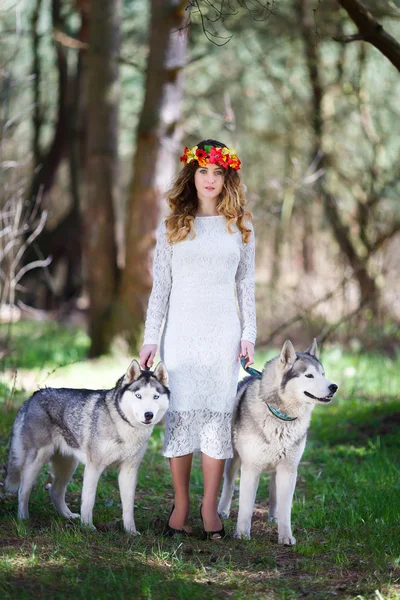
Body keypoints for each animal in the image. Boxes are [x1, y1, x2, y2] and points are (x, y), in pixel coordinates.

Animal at [5, 358, 169, 532]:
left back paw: (68, 515)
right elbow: (89, 501)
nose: (148, 415)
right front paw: (88, 528)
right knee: (23, 491)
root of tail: (32, 397)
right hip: (37, 461)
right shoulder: (93, 467)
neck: (124, 425)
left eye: (156, 396)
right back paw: (23, 520)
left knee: (55, 491)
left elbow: (128, 506)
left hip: (68, 466)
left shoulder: (129, 471)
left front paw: (131, 531)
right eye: (138, 396)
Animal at [219, 340, 338, 548]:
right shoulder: (250, 469)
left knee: (274, 492)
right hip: (233, 461)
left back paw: (273, 516)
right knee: (229, 484)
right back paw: (222, 511)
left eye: (323, 374)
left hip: (278, 470)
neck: (280, 416)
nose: (334, 387)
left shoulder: (289, 470)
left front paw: (285, 536)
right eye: (309, 375)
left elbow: (286, 508)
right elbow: (246, 507)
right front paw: (241, 534)